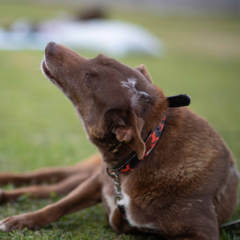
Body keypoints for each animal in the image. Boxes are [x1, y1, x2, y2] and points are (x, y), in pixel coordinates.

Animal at [0, 42, 238, 239]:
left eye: (88, 79)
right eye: (97, 56)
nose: (49, 45)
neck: (142, 155)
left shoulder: (202, 232)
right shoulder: (97, 181)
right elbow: (57, 206)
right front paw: (22, 220)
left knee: (49, 187)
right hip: (85, 172)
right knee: (46, 181)